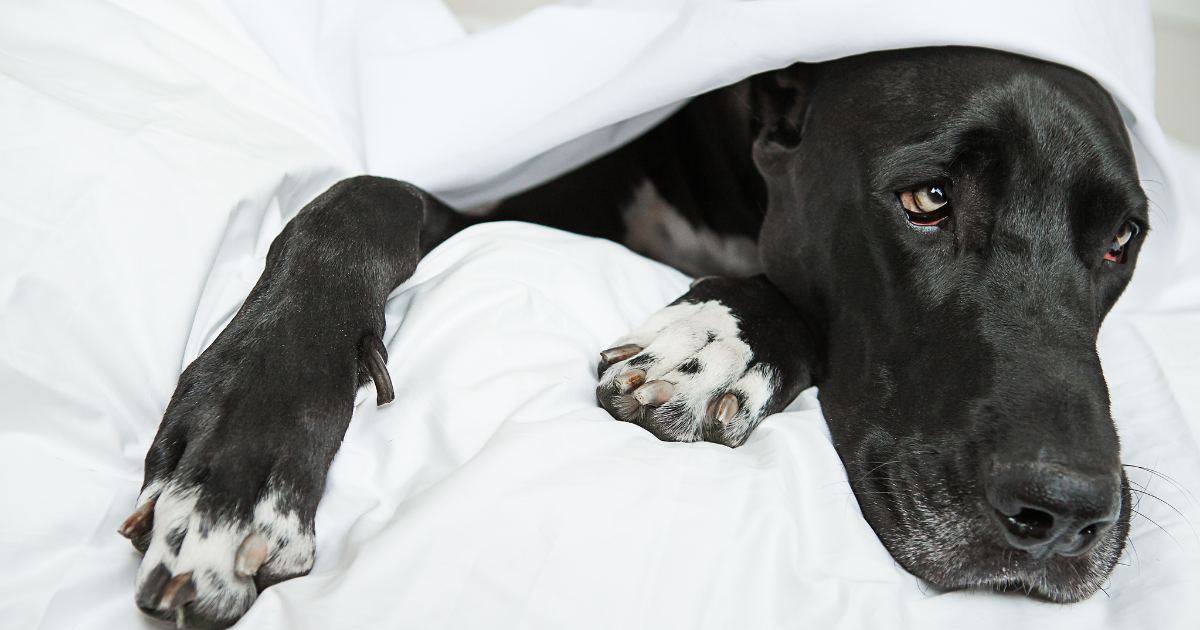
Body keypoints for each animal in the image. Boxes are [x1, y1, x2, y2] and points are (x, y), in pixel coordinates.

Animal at [119, 46, 1142, 624]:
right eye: (927, 199)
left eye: (1122, 240)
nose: (1065, 514)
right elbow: (364, 196)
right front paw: (238, 467)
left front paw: (712, 346)